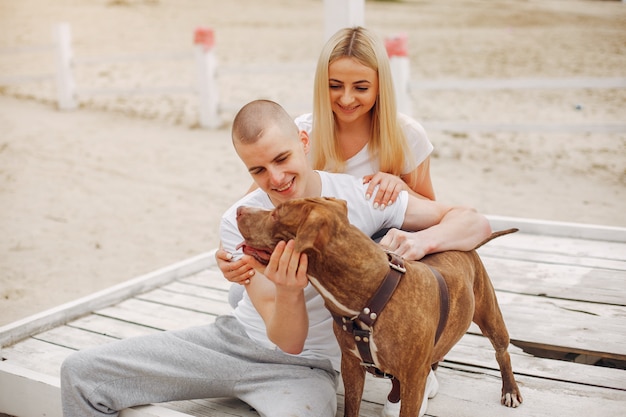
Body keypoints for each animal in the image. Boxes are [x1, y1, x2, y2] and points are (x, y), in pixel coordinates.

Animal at [235, 197, 520, 414]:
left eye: (277, 213)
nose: (239, 209)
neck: (374, 296)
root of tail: (468, 247)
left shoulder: (413, 380)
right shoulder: (351, 365)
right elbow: (351, 408)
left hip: (491, 317)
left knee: (502, 352)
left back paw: (510, 390)